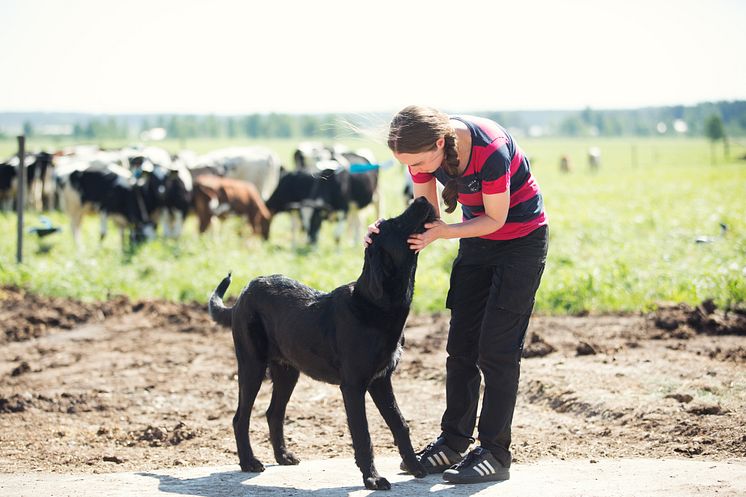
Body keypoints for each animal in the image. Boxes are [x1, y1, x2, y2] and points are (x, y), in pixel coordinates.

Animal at [208, 197, 436, 488]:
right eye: (395, 224)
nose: (422, 198)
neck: (375, 304)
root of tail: (243, 294)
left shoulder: (381, 381)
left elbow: (400, 424)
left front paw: (415, 466)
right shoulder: (353, 386)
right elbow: (363, 435)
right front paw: (373, 479)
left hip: (287, 371)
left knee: (273, 413)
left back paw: (283, 456)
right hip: (251, 365)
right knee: (241, 417)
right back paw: (249, 462)